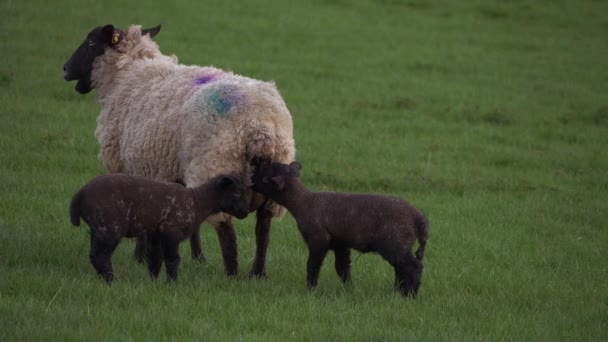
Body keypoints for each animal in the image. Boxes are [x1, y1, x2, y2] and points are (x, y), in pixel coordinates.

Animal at [70, 174, 249, 284]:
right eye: (236, 193)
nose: (245, 212)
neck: (198, 202)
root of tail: (78, 197)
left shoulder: (155, 234)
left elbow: (155, 260)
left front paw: (153, 282)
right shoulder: (171, 231)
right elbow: (172, 259)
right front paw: (172, 283)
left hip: (97, 229)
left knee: (95, 255)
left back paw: (104, 279)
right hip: (109, 227)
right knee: (101, 256)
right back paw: (110, 280)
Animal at [249, 160, 430, 296]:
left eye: (265, 178)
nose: (250, 179)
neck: (301, 202)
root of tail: (419, 218)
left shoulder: (318, 239)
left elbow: (312, 265)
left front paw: (311, 288)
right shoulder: (340, 244)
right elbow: (342, 268)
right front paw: (349, 288)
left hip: (395, 243)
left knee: (413, 267)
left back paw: (410, 294)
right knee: (402, 269)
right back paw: (399, 291)